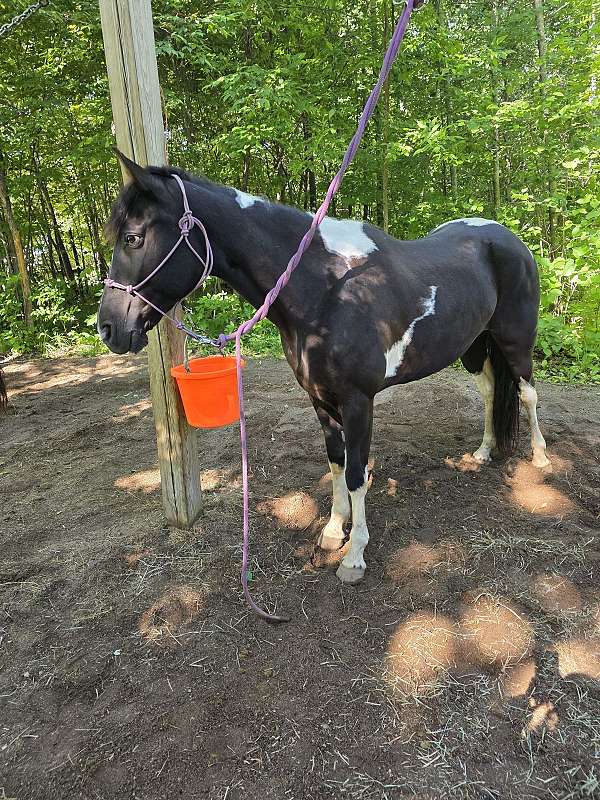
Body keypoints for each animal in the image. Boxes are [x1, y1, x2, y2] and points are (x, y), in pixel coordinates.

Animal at [98, 153, 551, 584]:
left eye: (133, 238)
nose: (108, 328)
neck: (327, 289)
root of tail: (508, 238)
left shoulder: (358, 401)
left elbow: (356, 473)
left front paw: (354, 557)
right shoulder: (320, 398)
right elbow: (336, 463)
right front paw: (334, 531)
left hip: (515, 340)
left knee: (527, 392)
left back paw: (541, 459)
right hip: (474, 346)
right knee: (490, 392)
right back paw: (483, 452)